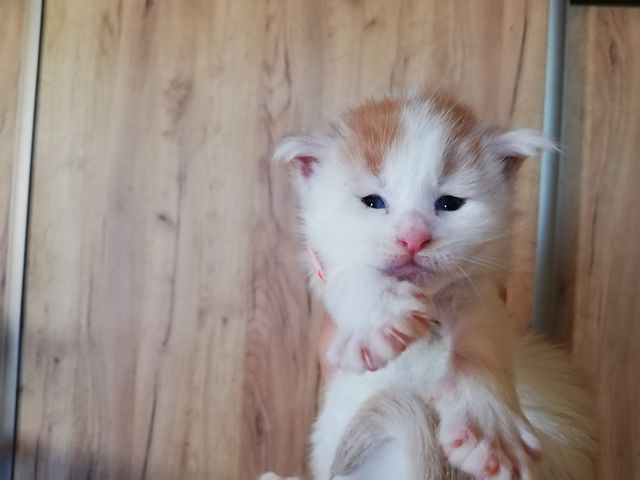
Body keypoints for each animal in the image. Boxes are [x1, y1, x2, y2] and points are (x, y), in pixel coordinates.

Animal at [260, 90, 598, 480]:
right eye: (373, 202)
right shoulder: (322, 265)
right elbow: (352, 274)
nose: (414, 238)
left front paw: (490, 423)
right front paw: (381, 319)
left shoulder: (478, 287)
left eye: (449, 203)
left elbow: (483, 336)